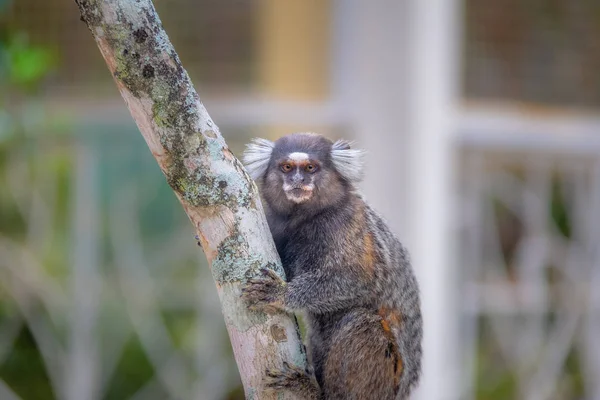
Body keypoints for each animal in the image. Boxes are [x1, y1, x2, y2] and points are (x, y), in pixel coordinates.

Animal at [239, 133, 422, 398]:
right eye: (287, 167)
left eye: (310, 168)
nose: (297, 181)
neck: (305, 218)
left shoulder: (344, 224)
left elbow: (358, 280)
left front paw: (280, 294)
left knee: (363, 324)